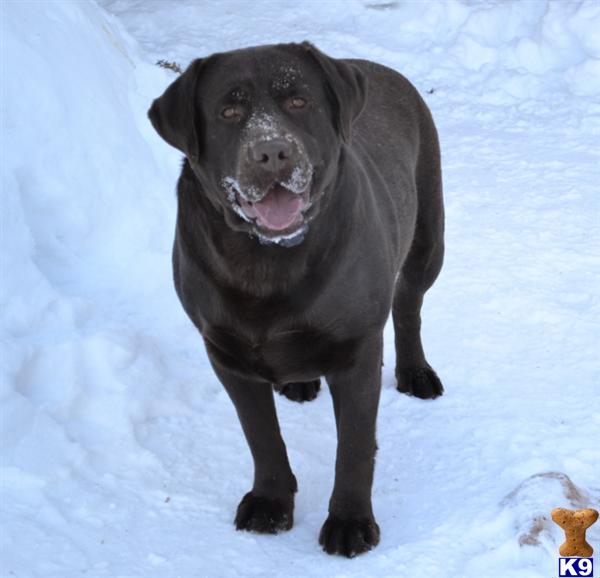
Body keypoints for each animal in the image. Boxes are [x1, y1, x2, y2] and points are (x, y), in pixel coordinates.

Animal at [148, 42, 442, 556]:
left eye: (299, 102)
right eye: (229, 111)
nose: (271, 151)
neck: (267, 262)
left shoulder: (357, 351)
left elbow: (354, 447)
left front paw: (350, 523)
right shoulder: (225, 354)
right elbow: (261, 435)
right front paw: (270, 502)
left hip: (428, 238)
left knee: (408, 305)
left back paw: (416, 373)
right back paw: (299, 383)